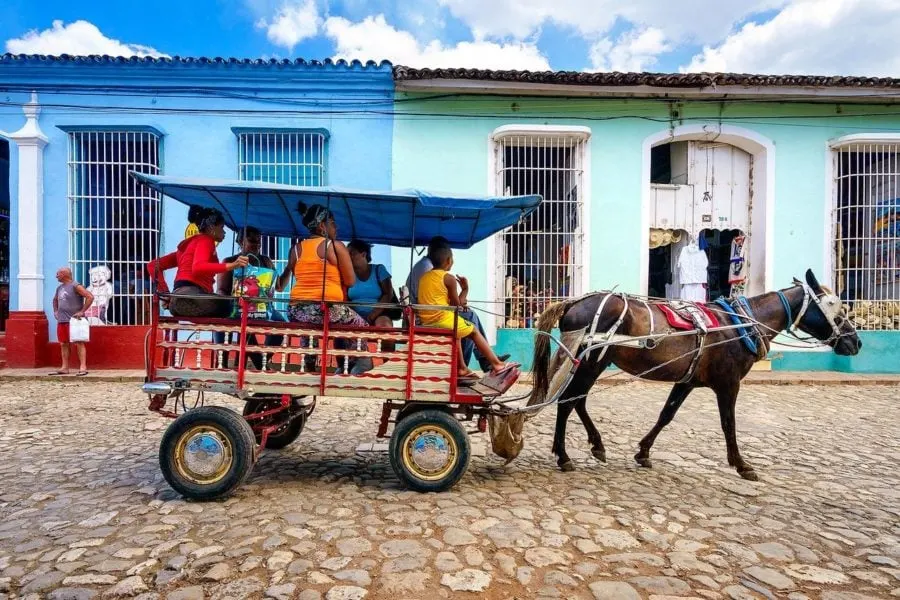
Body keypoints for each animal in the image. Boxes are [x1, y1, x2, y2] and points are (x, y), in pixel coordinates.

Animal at [532, 270, 860, 480]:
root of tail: (573, 302)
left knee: (578, 400)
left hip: (593, 362)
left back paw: (596, 446)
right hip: (590, 362)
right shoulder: (729, 384)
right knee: (568, 401)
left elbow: (667, 414)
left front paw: (644, 452)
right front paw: (741, 464)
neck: (739, 325)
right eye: (836, 309)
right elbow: (729, 424)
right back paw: (564, 456)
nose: (855, 342)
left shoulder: (687, 381)